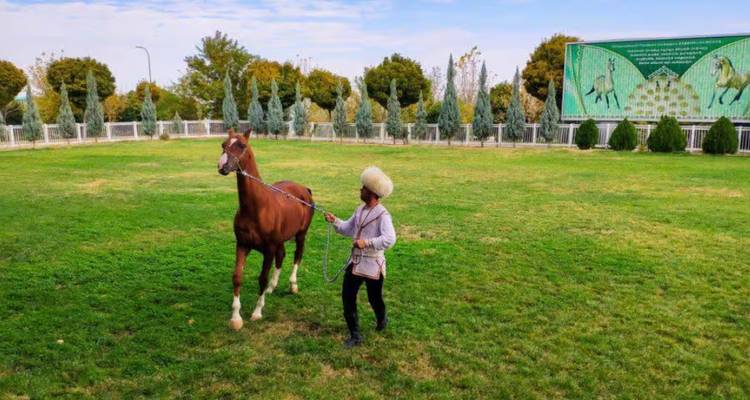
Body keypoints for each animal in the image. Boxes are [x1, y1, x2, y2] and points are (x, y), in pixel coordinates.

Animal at [217, 129, 314, 330]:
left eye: (242, 145)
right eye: (223, 144)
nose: (222, 166)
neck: (257, 207)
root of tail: (305, 189)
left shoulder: (268, 249)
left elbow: (261, 277)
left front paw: (257, 312)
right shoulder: (242, 245)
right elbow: (237, 277)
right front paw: (236, 318)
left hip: (300, 235)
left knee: (297, 256)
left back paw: (292, 285)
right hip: (281, 240)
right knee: (282, 256)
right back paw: (272, 286)